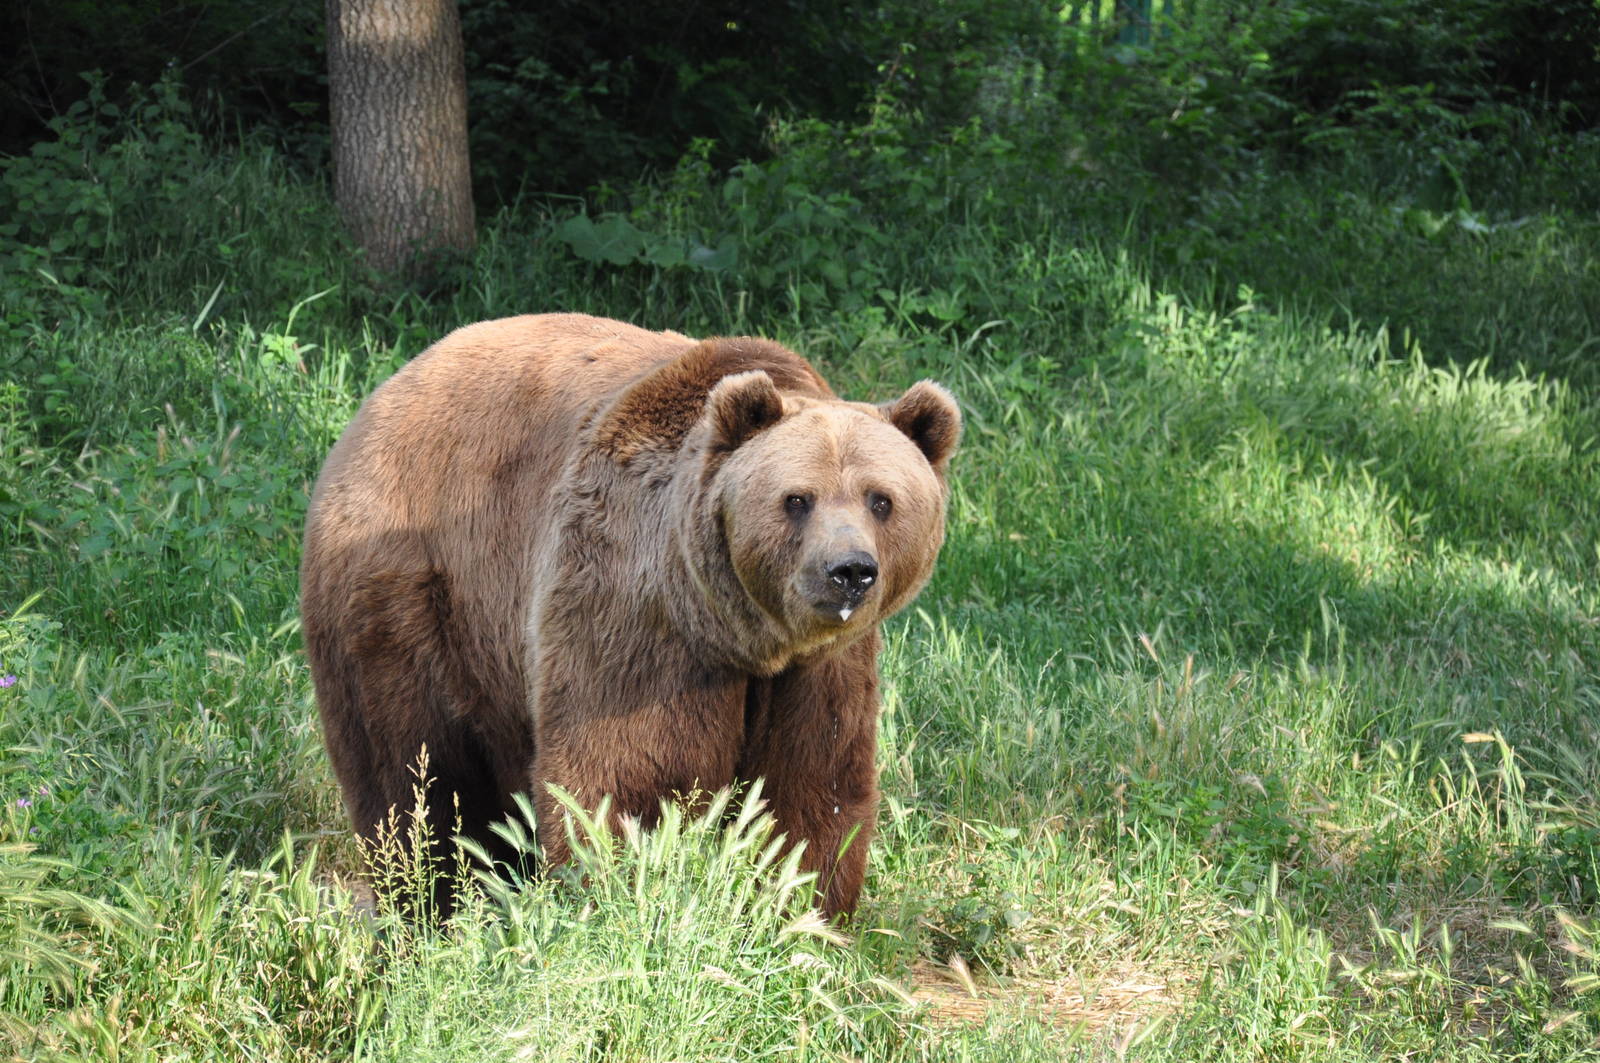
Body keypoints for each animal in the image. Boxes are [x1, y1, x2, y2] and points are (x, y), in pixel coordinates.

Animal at [300, 313, 960, 917]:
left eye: (882, 500)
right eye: (797, 499)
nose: (848, 571)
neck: (738, 632)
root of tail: (387, 391)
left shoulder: (821, 669)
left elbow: (810, 792)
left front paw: (800, 910)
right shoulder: (631, 610)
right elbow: (624, 782)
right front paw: (617, 893)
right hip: (412, 592)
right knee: (414, 773)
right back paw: (428, 900)